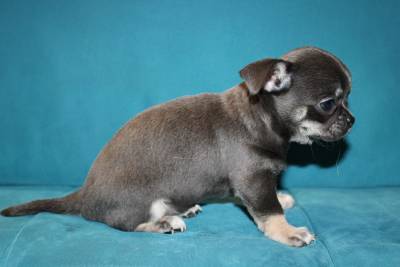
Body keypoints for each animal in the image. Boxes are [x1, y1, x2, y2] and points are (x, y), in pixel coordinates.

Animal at [1, 47, 354, 248]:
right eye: (328, 103)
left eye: (348, 97)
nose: (352, 120)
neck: (262, 117)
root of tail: (84, 193)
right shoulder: (252, 179)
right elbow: (268, 211)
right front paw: (287, 231)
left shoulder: (253, 181)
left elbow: (265, 198)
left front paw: (281, 196)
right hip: (138, 202)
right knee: (125, 224)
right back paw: (164, 222)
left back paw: (182, 208)